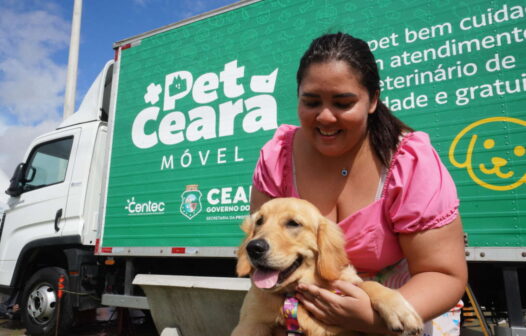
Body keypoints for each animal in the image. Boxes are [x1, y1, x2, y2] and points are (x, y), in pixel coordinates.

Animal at [231, 198, 424, 336]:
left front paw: (400, 310)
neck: (293, 294)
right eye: (259, 221)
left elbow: (367, 284)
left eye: (293, 223)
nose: (254, 248)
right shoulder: (250, 325)